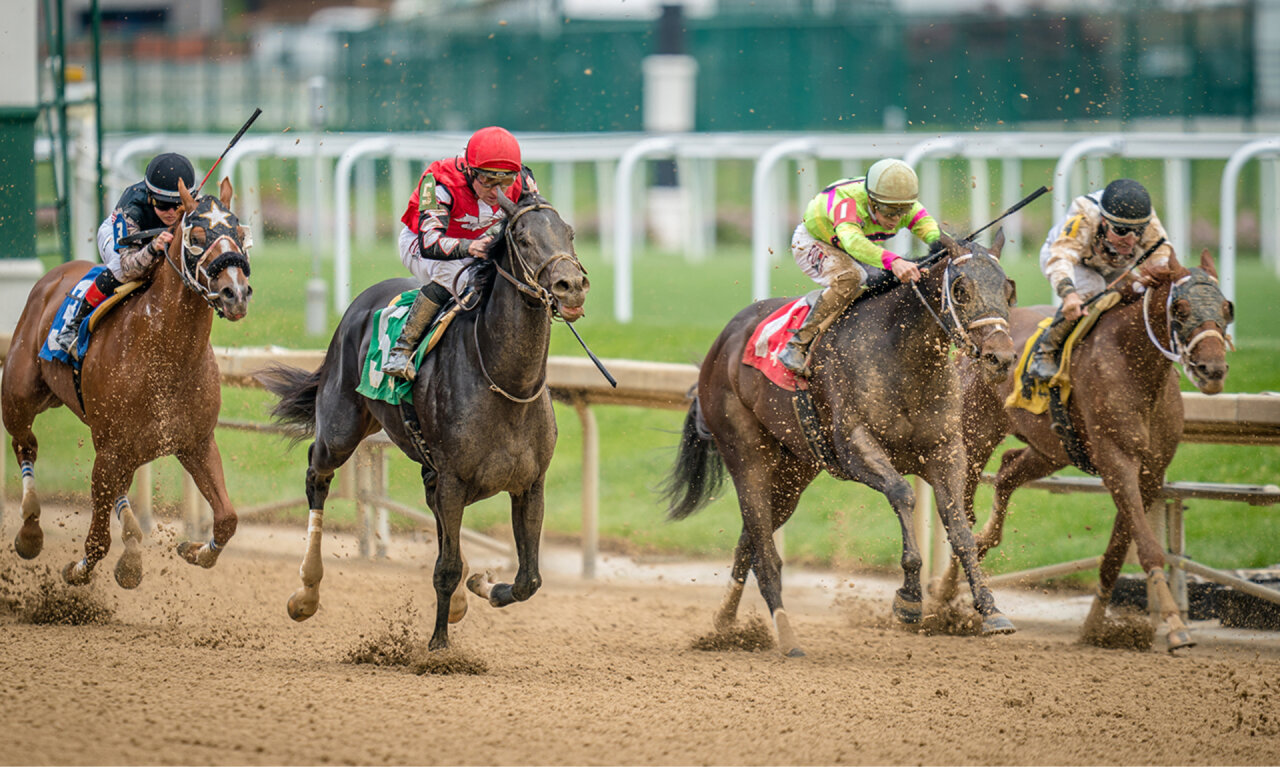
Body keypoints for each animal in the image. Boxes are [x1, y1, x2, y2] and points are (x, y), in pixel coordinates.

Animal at [1, 177, 253, 589]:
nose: (236, 292)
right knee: (25, 444)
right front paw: (77, 570)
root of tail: (54, 275)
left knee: (117, 487)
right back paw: (30, 530)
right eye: (196, 235)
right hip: (19, 398)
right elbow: (97, 541)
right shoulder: (109, 450)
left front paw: (193, 550)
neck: (165, 354)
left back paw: (131, 546)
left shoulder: (196, 442)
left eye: (240, 233)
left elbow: (228, 519)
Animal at [261, 189, 588, 650]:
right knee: (316, 475)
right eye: (523, 239)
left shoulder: (529, 484)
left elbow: (529, 580)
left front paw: (484, 585)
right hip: (341, 430)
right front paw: (439, 647)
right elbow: (446, 570)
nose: (571, 286)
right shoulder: (454, 479)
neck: (505, 382)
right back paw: (306, 592)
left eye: (569, 233)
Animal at [670, 234, 1018, 653]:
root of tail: (721, 344)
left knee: (749, 543)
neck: (902, 356)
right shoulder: (855, 448)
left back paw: (724, 625)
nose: (1001, 358)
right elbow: (902, 494)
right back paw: (786, 635)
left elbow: (961, 530)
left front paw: (991, 610)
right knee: (765, 555)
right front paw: (909, 599)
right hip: (745, 454)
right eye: (961, 290)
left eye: (1009, 290)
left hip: (792, 474)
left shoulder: (945, 451)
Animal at [957, 249, 1233, 650]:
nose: (1212, 370)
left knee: (1007, 471)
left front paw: (1094, 627)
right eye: (1180, 308)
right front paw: (1174, 625)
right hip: (974, 434)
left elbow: (1117, 553)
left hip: (1051, 449)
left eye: (1227, 308)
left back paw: (978, 553)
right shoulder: (1117, 461)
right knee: (960, 509)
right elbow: (1148, 546)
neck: (1133, 364)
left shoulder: (1150, 472)